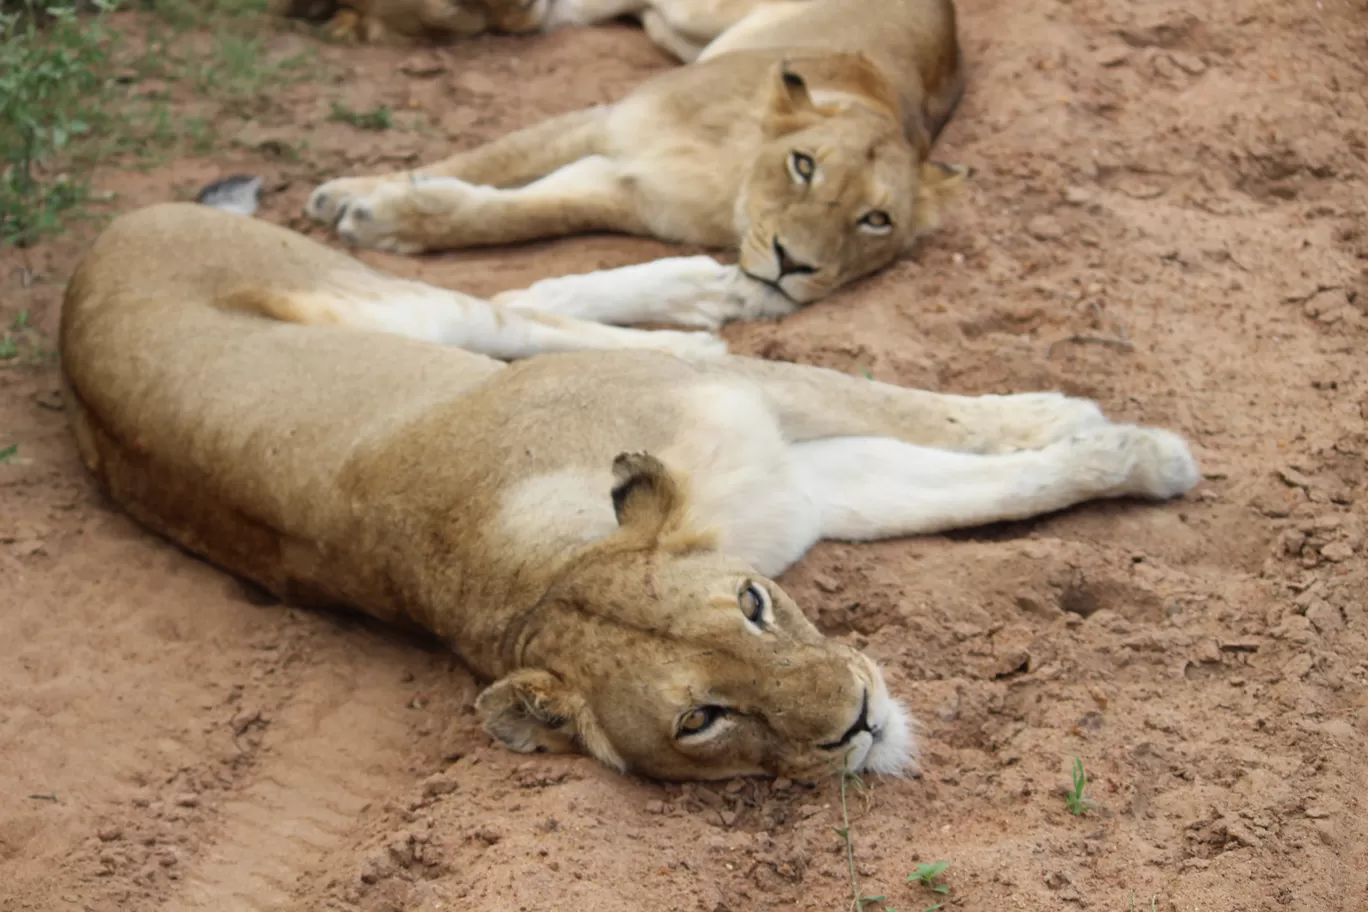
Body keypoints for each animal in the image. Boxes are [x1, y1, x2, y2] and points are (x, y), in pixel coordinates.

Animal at [61, 203, 1198, 782]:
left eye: (754, 605)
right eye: (703, 720)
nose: (863, 720)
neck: (539, 574)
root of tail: (97, 244)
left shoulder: (769, 419)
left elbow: (947, 430)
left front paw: (1120, 438)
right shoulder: (804, 482)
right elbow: (971, 481)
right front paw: (1119, 445)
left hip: (383, 302)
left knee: (515, 305)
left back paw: (696, 303)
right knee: (527, 308)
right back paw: (697, 307)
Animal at [305, 0, 968, 328]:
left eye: (876, 220)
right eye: (804, 166)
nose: (792, 265)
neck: (732, 180)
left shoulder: (624, 191)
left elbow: (513, 216)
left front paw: (384, 216)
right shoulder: (605, 120)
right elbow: (483, 158)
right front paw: (350, 193)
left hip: (677, 28)